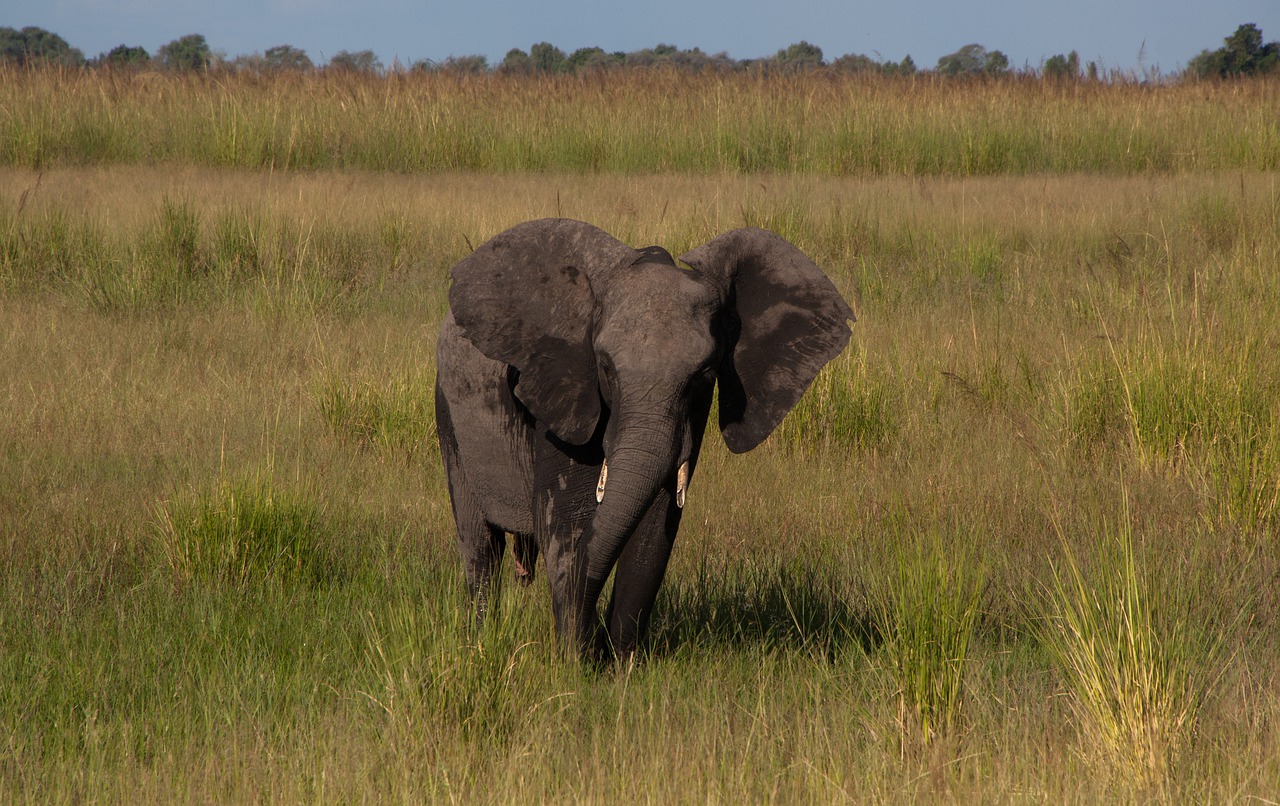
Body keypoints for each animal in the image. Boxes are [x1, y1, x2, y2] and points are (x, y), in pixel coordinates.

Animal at [435, 217, 855, 660]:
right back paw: (480, 642)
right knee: (480, 547)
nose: (594, 646)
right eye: (605, 367)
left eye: (705, 374)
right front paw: (574, 664)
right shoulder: (565, 388)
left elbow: (654, 534)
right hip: (448, 413)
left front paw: (621, 665)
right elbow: (566, 527)